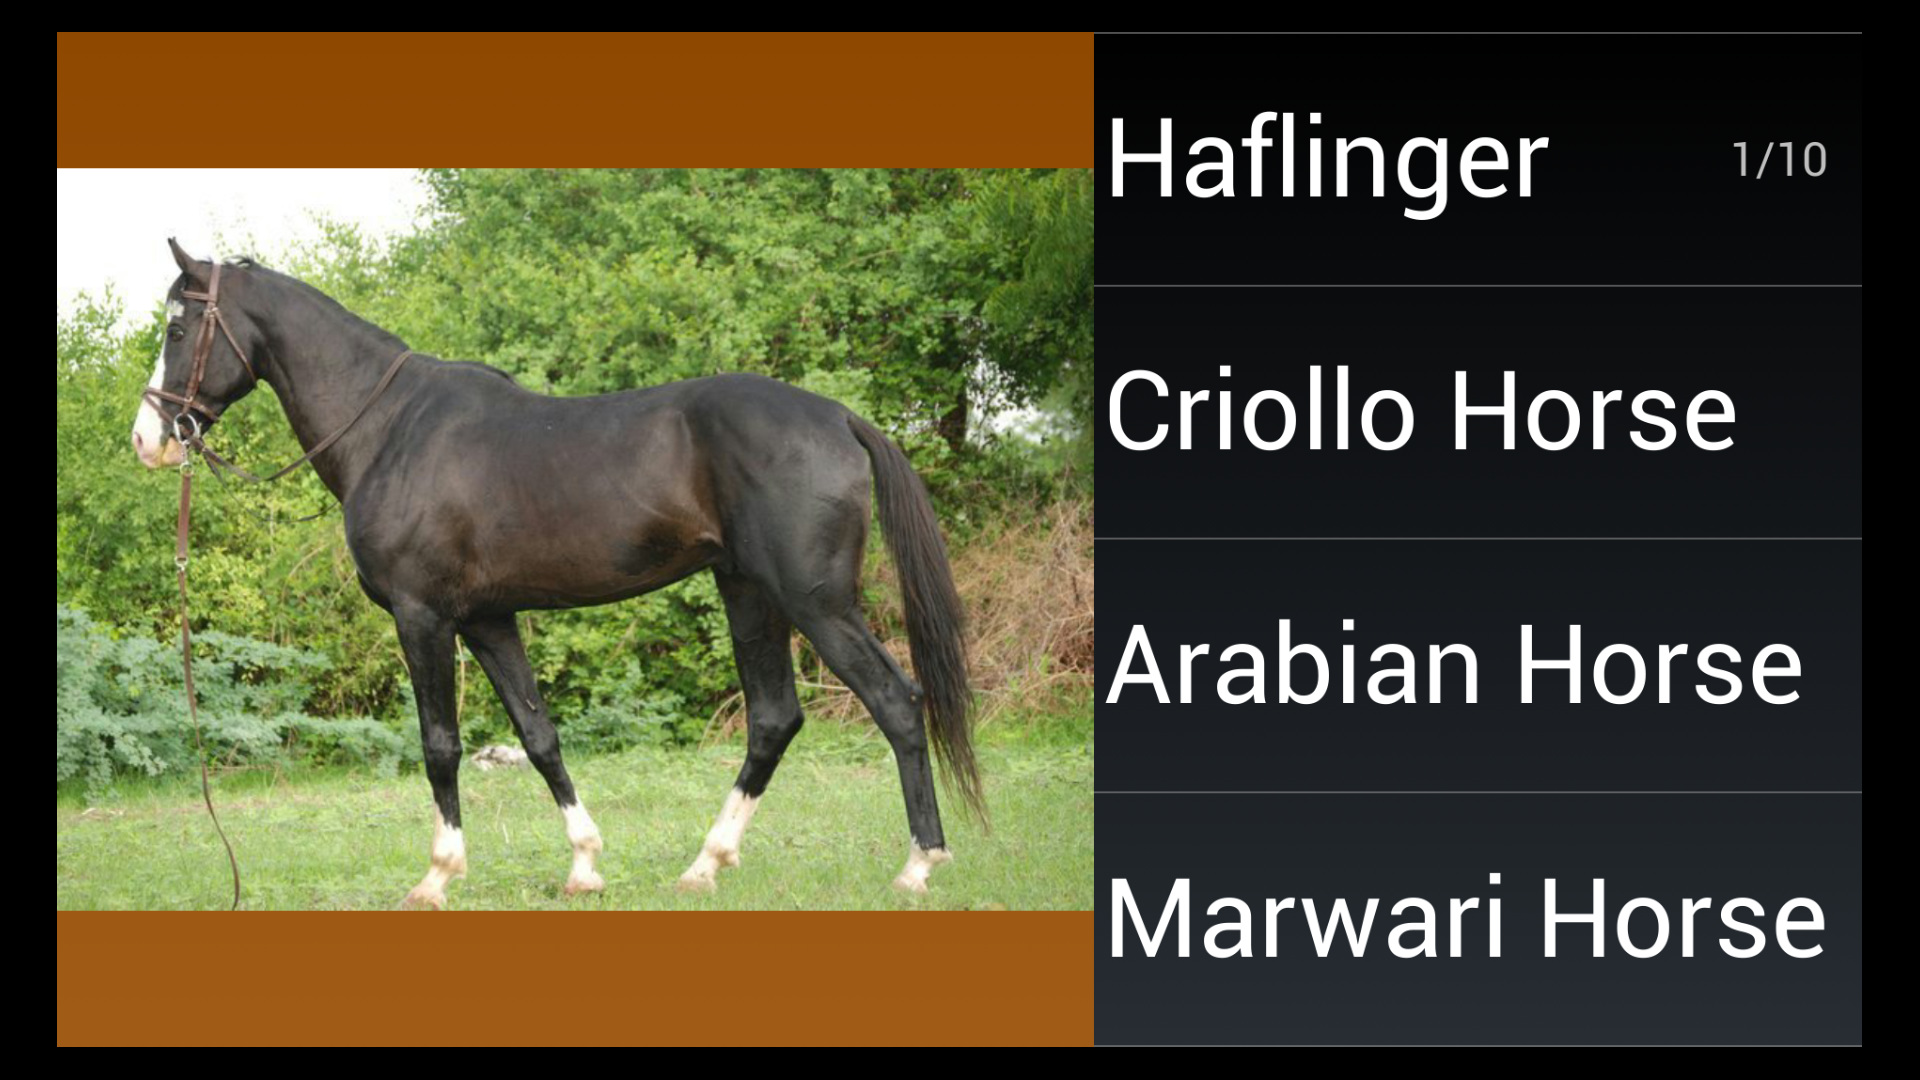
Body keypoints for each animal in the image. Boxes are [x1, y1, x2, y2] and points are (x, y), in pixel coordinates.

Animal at [131, 240, 980, 907]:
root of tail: (839, 417)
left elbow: (439, 744)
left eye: (177, 325)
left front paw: (437, 877)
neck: (390, 428)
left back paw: (919, 867)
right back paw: (704, 866)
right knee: (773, 719)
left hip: (816, 602)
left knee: (896, 704)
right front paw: (584, 867)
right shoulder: (488, 620)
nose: (149, 439)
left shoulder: (422, 616)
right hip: (749, 593)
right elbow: (539, 736)